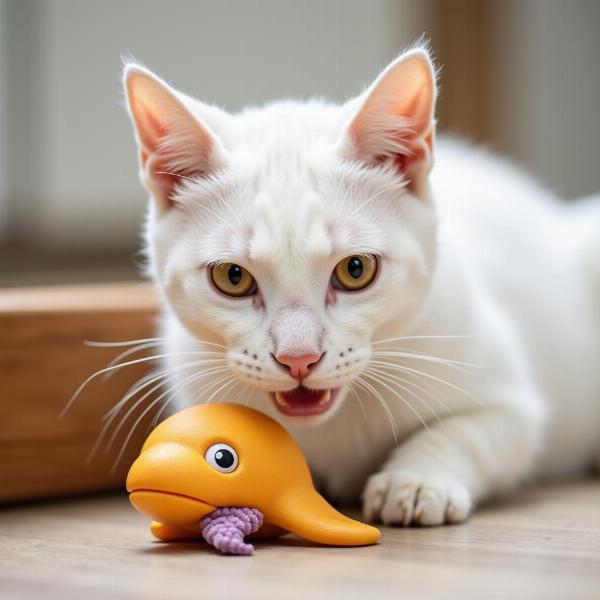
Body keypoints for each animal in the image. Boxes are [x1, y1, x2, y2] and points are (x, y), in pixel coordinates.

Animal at [123, 47, 600, 524]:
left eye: (355, 269)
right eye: (232, 277)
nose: (299, 359)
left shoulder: (511, 403)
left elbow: (469, 432)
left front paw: (414, 481)